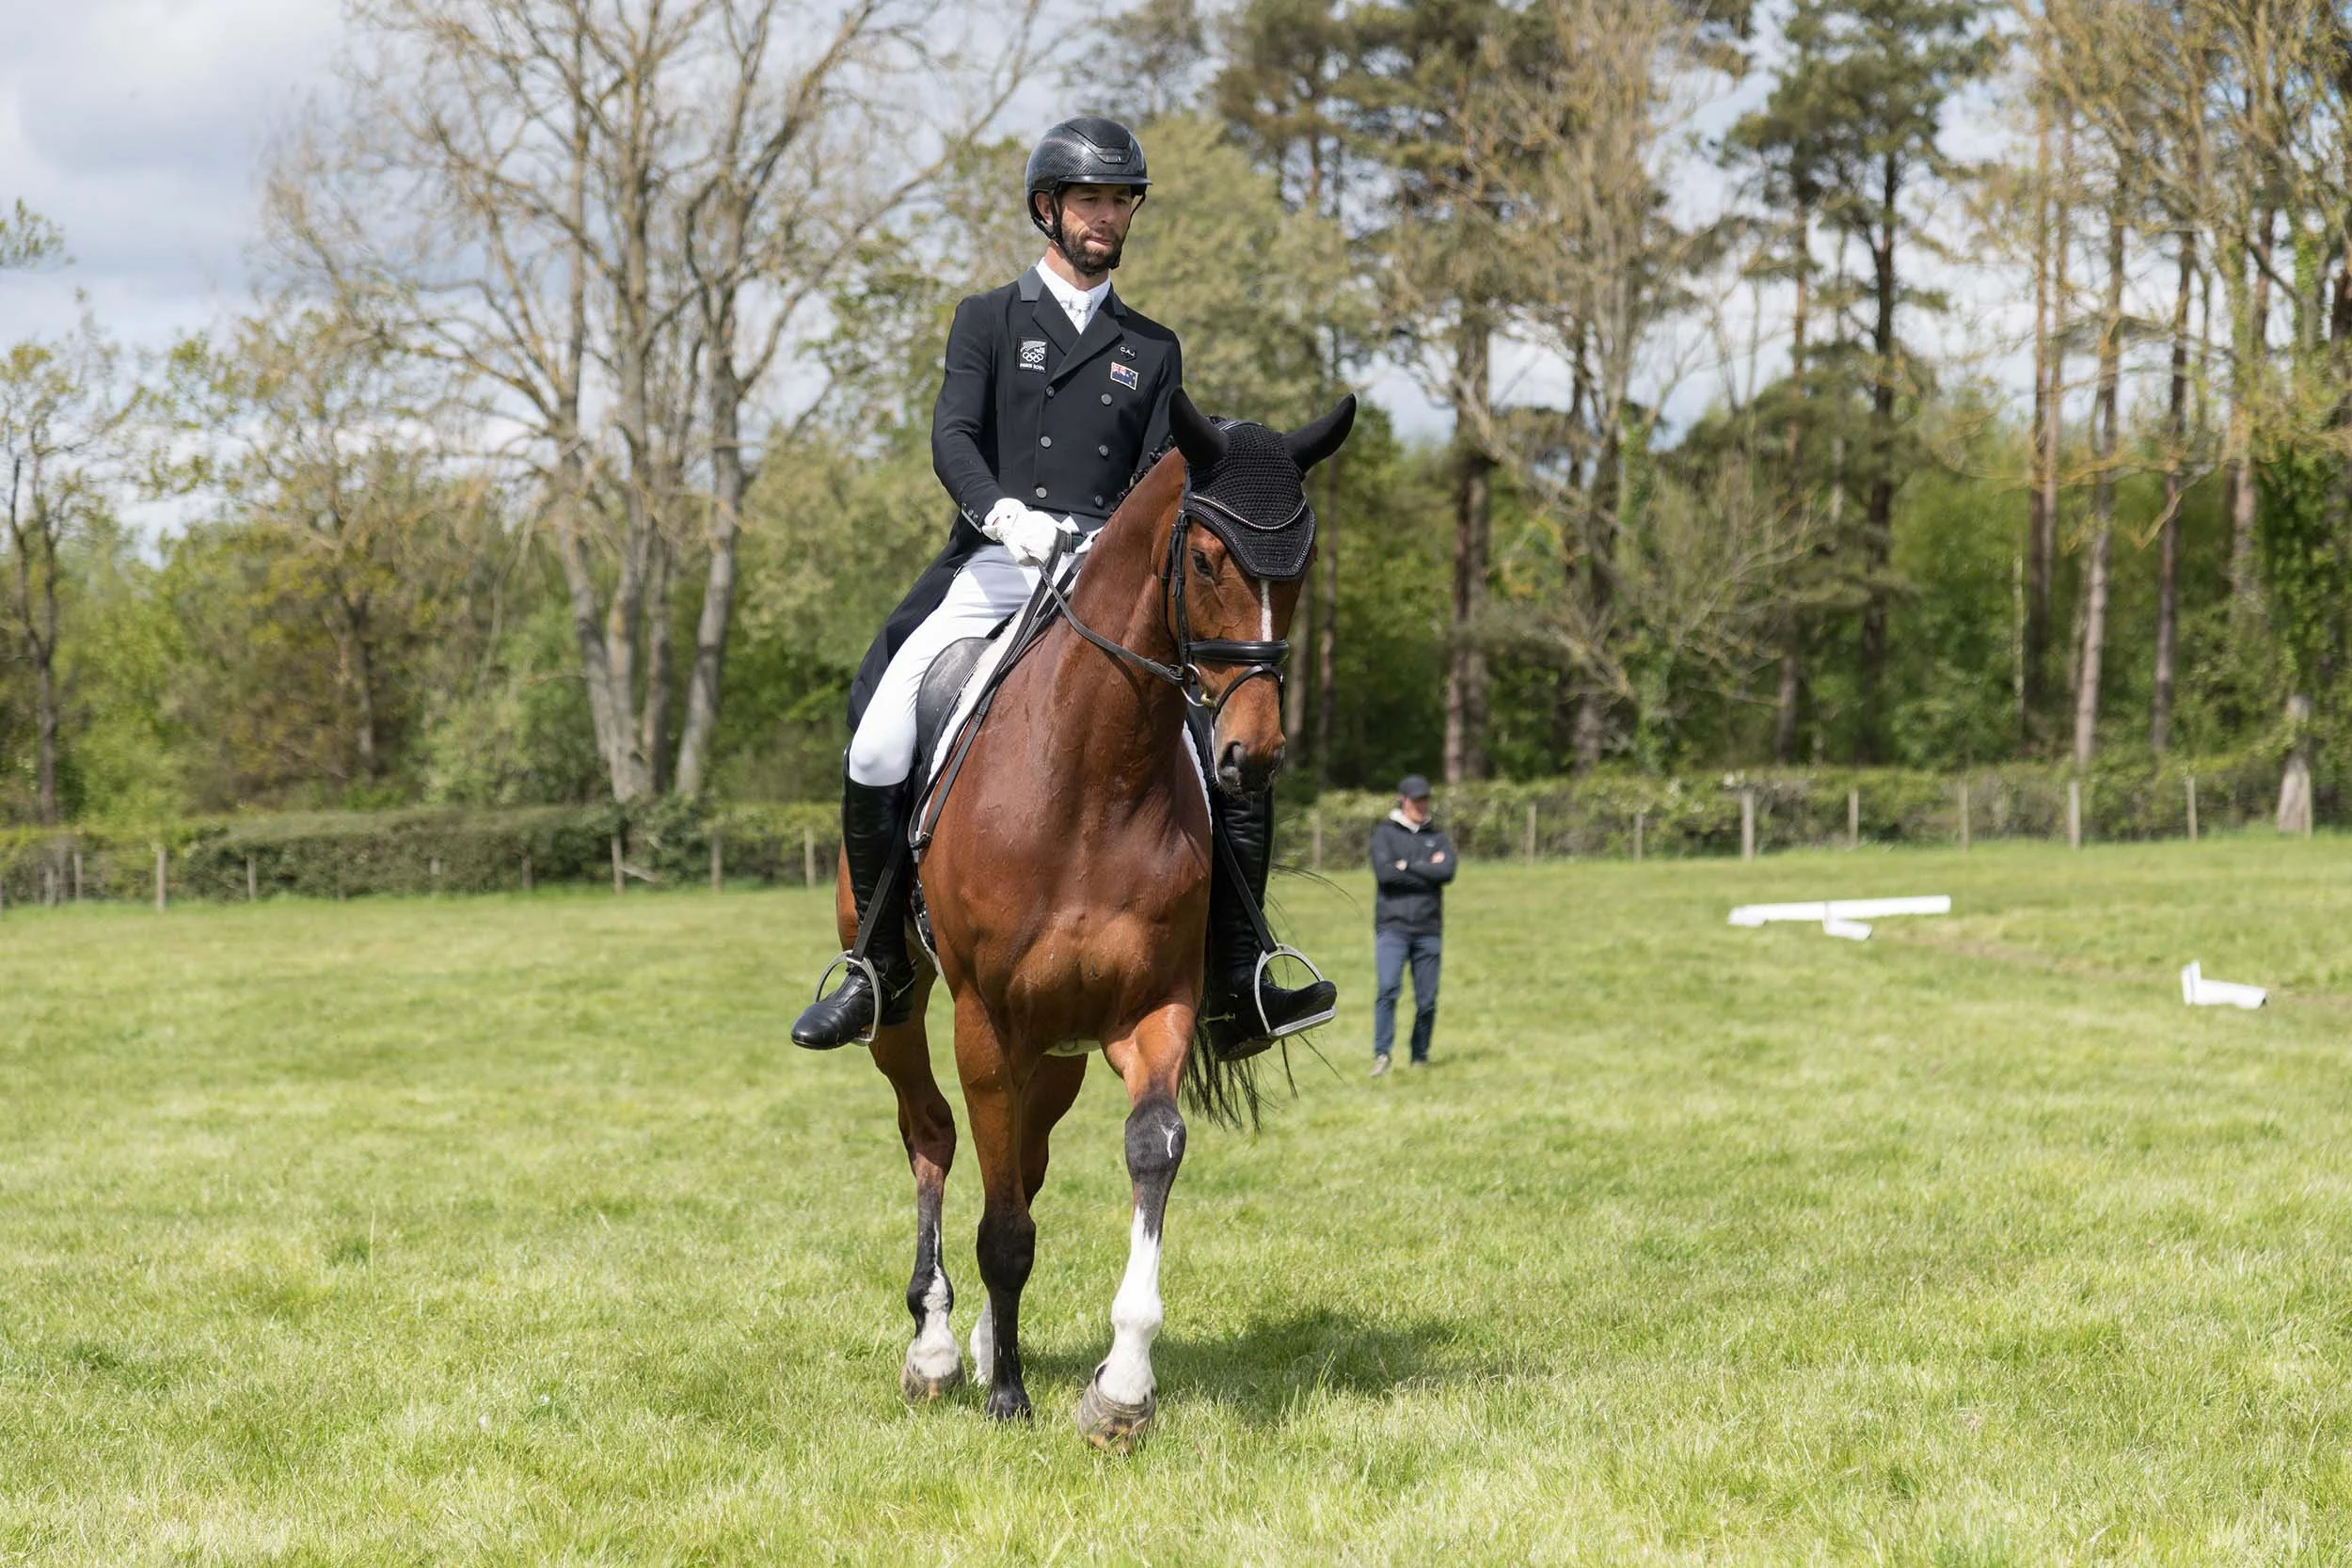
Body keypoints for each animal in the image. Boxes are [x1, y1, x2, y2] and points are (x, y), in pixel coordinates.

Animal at [836, 388, 1355, 1448]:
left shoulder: (1149, 1008)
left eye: (1303, 564)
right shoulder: (986, 1022)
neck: (1091, 774)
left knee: (1022, 1160)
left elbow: (1147, 1150)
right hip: (907, 1009)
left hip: (1062, 1047)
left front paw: (1120, 1390)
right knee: (933, 1134)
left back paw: (984, 1340)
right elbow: (999, 1220)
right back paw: (937, 1347)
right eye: (1206, 558)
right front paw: (1005, 1394)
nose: (1250, 757)